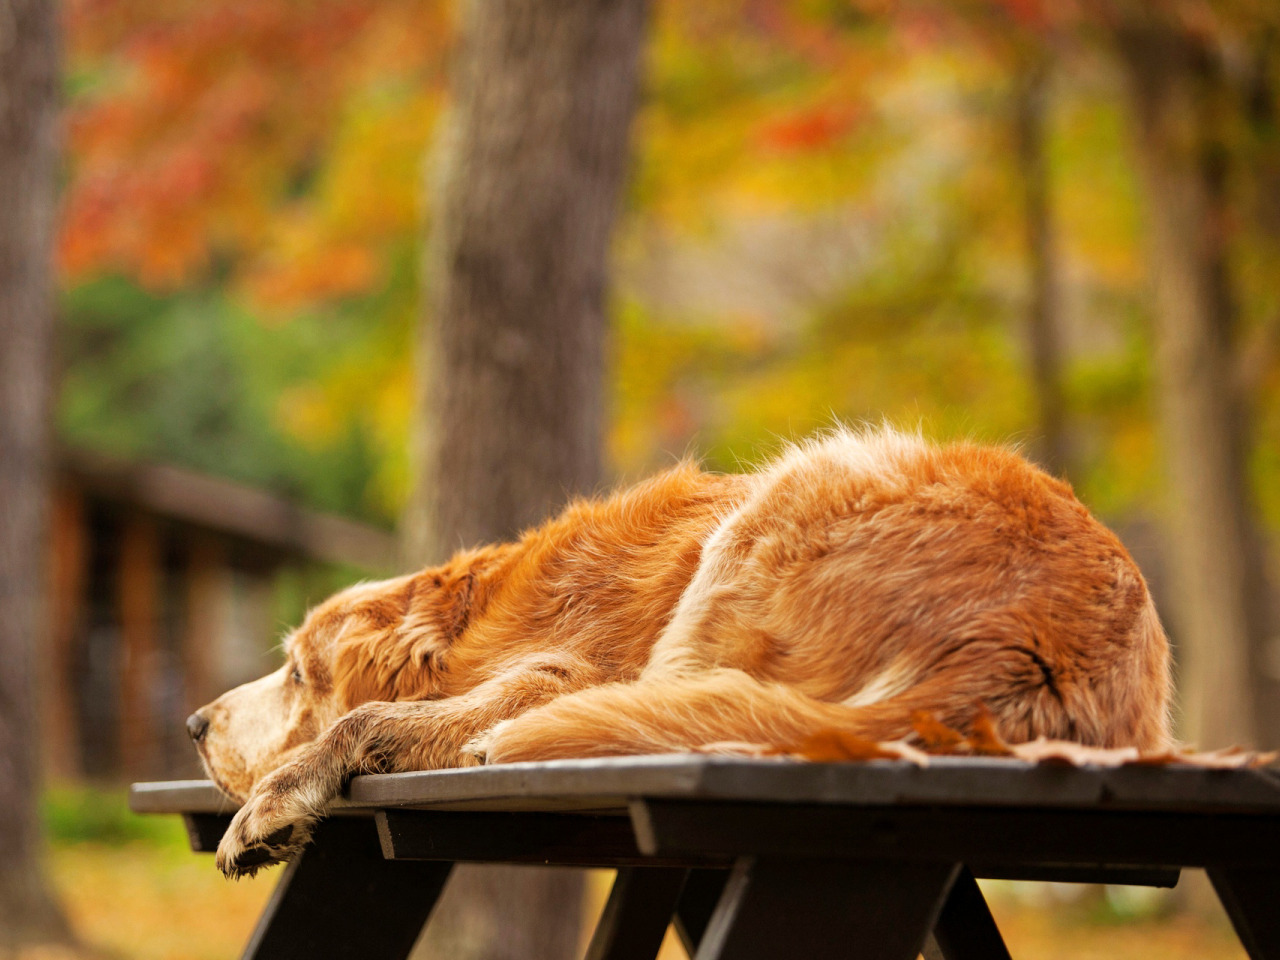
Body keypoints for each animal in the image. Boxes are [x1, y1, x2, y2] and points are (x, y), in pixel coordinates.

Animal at [186, 427, 1172, 880]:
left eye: (298, 672)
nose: (193, 722)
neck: (478, 623)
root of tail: (1031, 643)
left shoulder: (565, 668)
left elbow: (367, 718)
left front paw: (278, 800)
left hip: (805, 478)